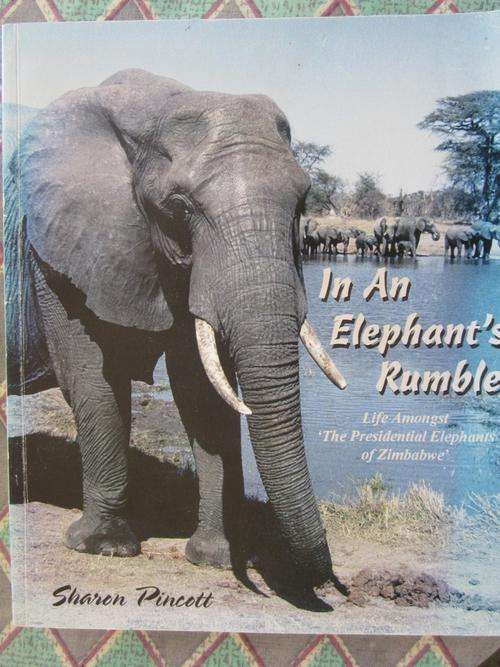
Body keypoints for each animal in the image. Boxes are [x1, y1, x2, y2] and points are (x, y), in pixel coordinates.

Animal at [5, 69, 347, 590]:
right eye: (181, 205)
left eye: (302, 201)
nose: (326, 581)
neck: (156, 109)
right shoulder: (52, 250)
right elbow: (92, 380)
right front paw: (105, 546)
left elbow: (202, 392)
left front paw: (215, 557)